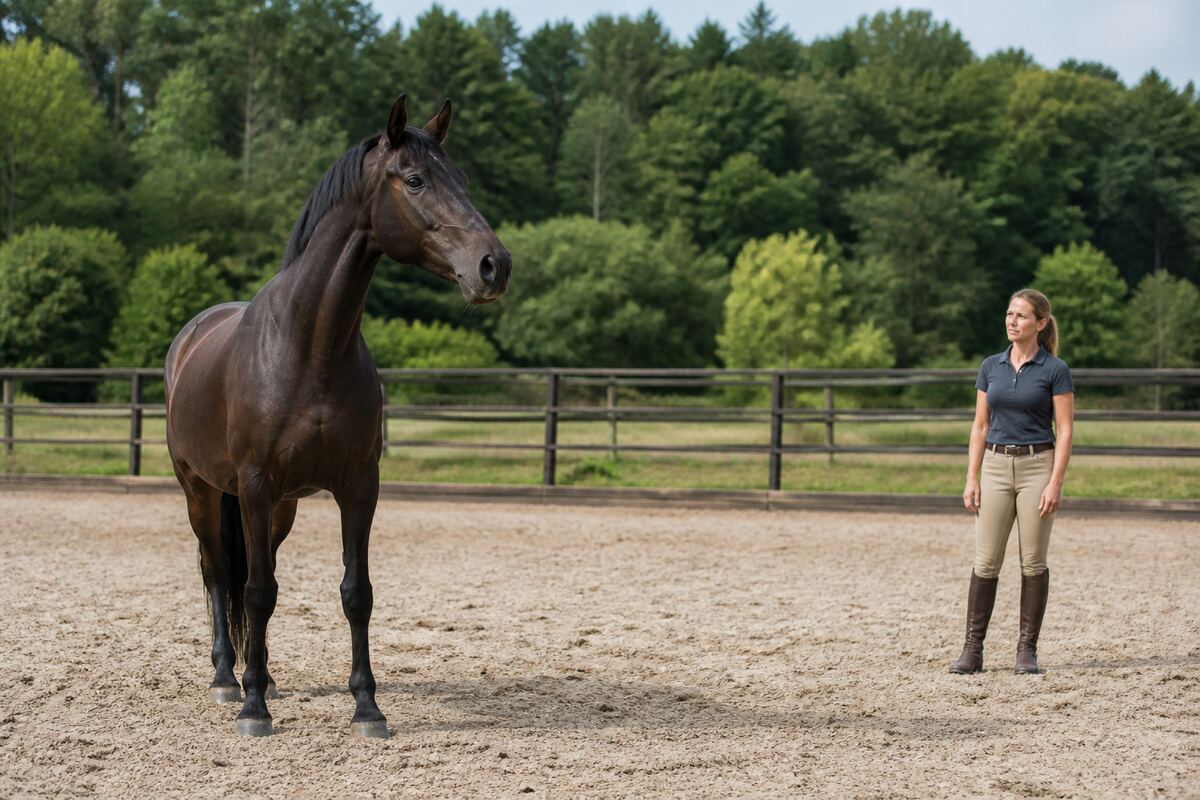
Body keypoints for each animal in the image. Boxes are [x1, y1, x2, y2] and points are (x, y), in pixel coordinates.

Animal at [164, 95, 511, 738]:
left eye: (463, 179)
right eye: (415, 180)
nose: (493, 266)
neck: (310, 348)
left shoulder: (357, 486)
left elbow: (355, 592)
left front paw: (367, 706)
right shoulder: (253, 485)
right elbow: (254, 591)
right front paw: (254, 708)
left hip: (281, 507)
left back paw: (264, 674)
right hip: (202, 490)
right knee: (219, 572)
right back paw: (229, 679)